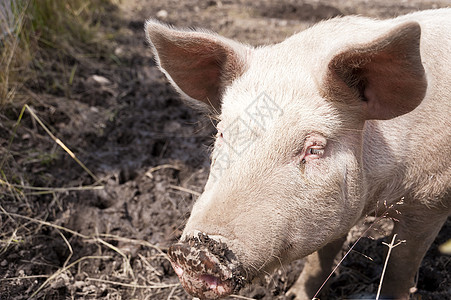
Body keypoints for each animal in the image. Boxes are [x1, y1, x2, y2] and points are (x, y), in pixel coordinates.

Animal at [147, 8, 450, 300]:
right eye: (222, 133)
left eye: (314, 148)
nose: (194, 252)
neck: (376, 198)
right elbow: (322, 255)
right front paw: (296, 295)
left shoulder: (430, 201)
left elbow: (400, 264)